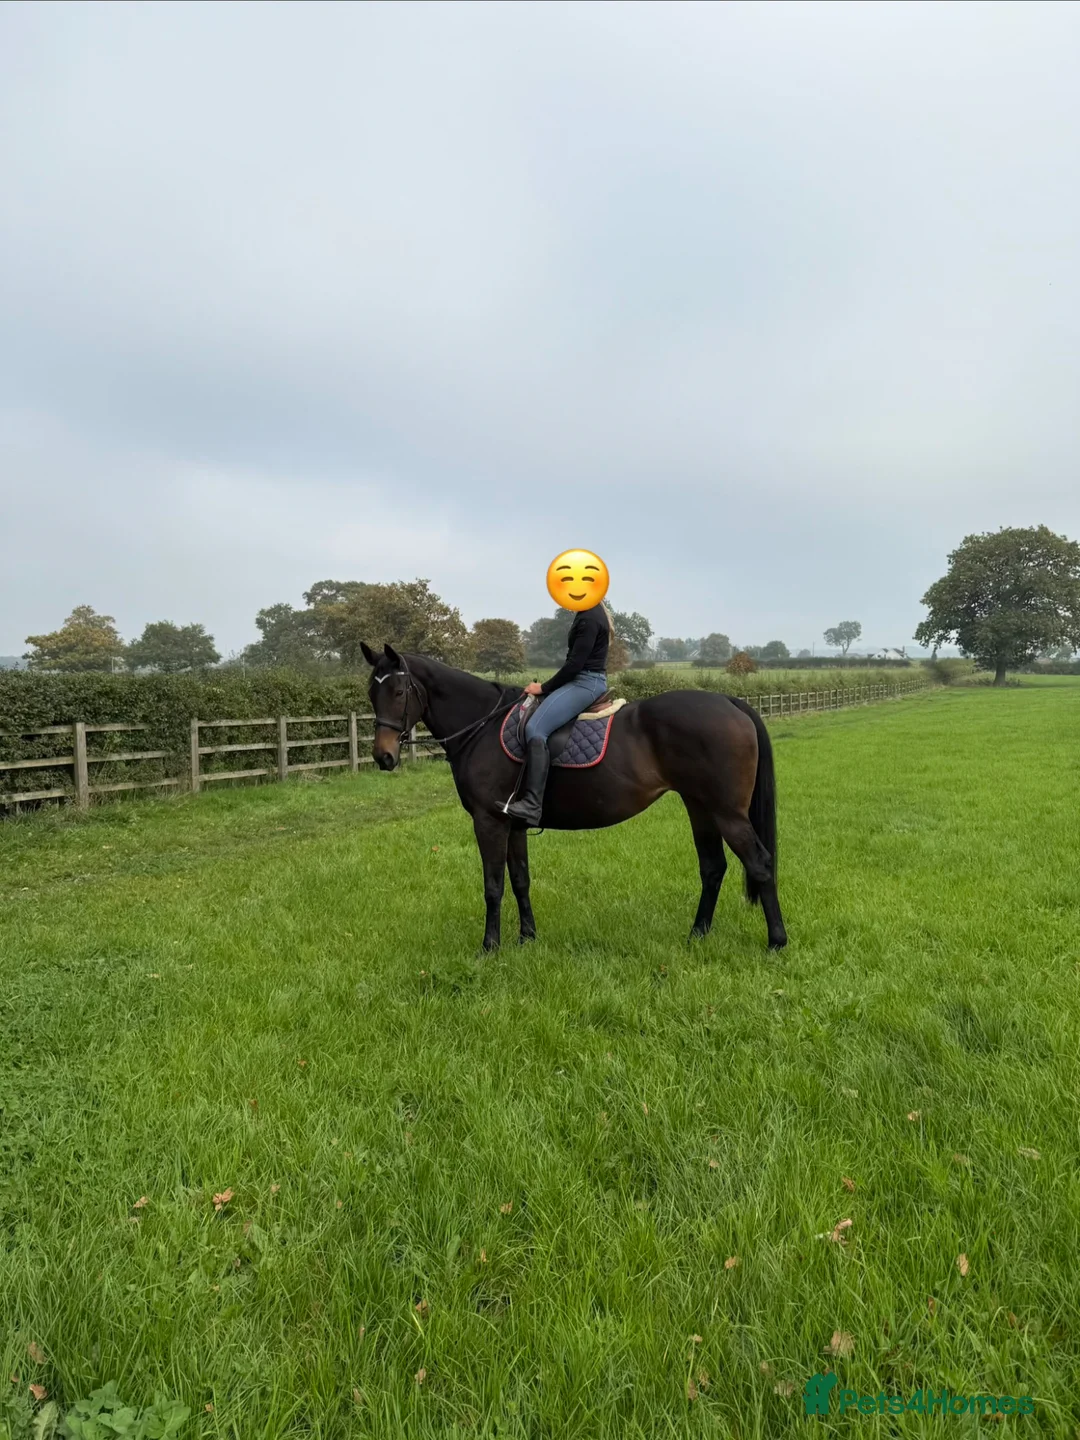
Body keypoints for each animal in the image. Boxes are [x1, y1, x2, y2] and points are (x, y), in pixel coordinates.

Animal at [360, 643, 787, 954]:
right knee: (713, 867)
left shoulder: (488, 822)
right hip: (700, 808)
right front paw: (526, 939)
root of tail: (729, 701)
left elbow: (493, 885)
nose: (383, 756)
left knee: (760, 864)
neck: (482, 726)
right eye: (370, 691)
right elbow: (520, 879)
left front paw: (489, 947)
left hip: (727, 813)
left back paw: (776, 942)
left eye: (398, 690)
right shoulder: (513, 824)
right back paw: (697, 935)